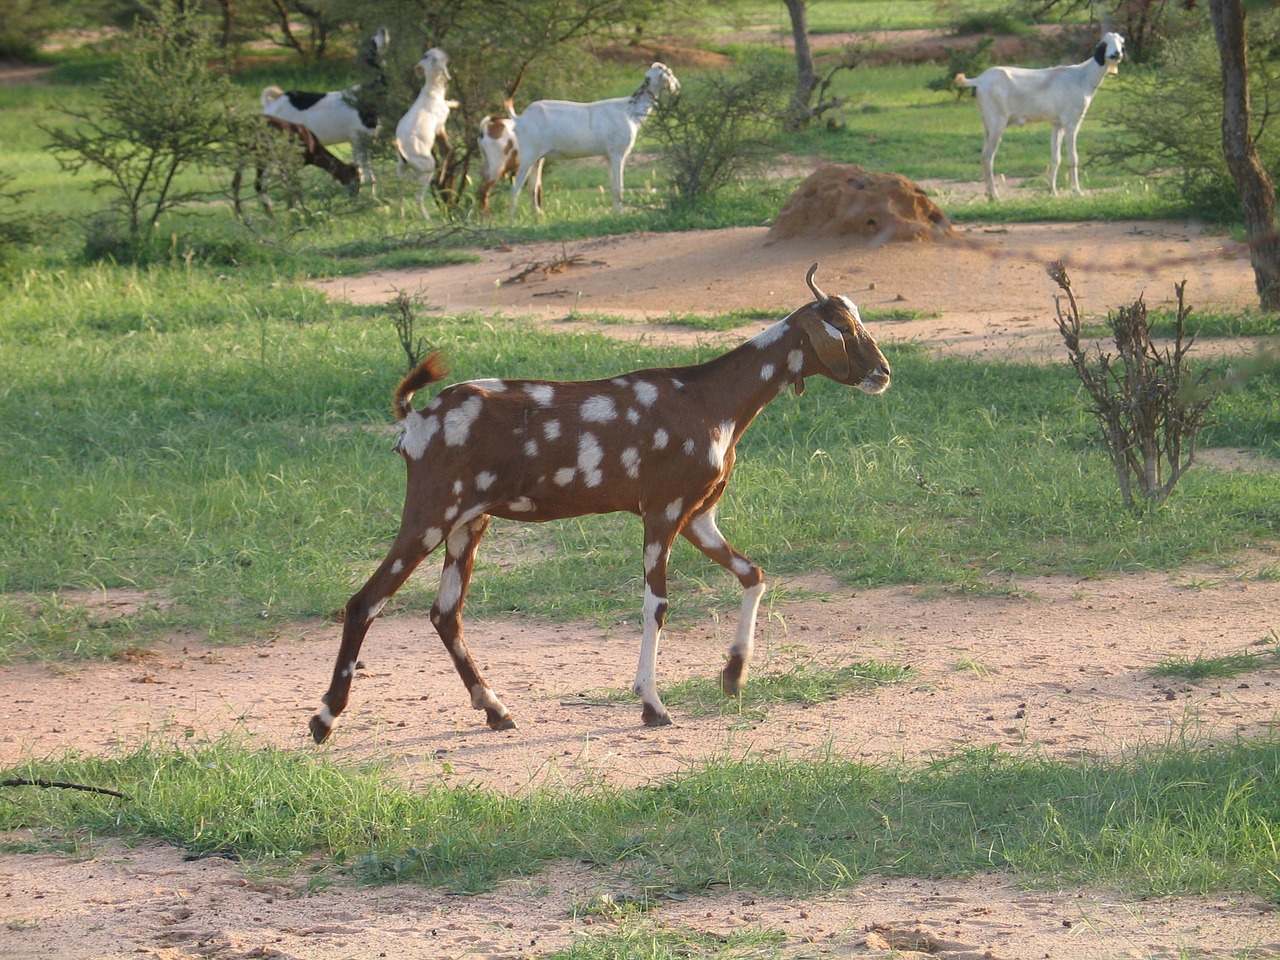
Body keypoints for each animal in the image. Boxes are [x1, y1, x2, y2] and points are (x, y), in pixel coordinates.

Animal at [261, 26, 389, 195]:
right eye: (373, 42)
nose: (382, 28)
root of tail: (272, 103)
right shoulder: (357, 139)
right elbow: (365, 173)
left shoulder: (364, 141)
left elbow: (368, 173)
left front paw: (373, 197)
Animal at [309, 263, 890, 742]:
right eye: (842, 328)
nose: (883, 373)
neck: (709, 400)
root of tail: (416, 419)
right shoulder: (662, 512)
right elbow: (657, 605)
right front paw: (653, 705)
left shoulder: (697, 516)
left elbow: (754, 575)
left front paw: (733, 675)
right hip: (431, 514)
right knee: (365, 602)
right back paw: (325, 718)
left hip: (467, 524)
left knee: (444, 613)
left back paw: (495, 709)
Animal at [394, 47, 455, 217]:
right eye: (433, 56)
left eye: (427, 55)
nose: (445, 53)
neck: (431, 91)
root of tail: (401, 150)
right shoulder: (440, 126)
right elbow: (448, 149)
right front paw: (442, 176)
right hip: (427, 166)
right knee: (418, 197)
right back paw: (428, 219)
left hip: (402, 170)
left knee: (400, 193)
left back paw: (401, 217)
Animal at [504, 64, 680, 218]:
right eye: (669, 72)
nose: (677, 88)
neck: (629, 111)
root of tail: (519, 118)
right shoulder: (617, 154)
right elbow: (619, 187)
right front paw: (619, 215)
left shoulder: (608, 156)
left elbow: (613, 186)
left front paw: (616, 213)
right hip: (527, 156)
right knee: (514, 188)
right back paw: (512, 221)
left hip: (538, 158)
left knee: (531, 188)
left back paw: (538, 219)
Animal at [952, 31, 1121, 200]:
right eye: (1105, 43)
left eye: (1120, 42)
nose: (1116, 54)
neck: (1082, 76)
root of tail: (979, 80)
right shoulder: (1071, 123)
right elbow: (1073, 157)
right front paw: (1077, 191)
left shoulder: (1057, 124)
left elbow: (1056, 158)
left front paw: (1052, 191)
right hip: (997, 123)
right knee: (987, 157)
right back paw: (995, 196)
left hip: (987, 124)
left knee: (983, 155)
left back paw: (989, 194)